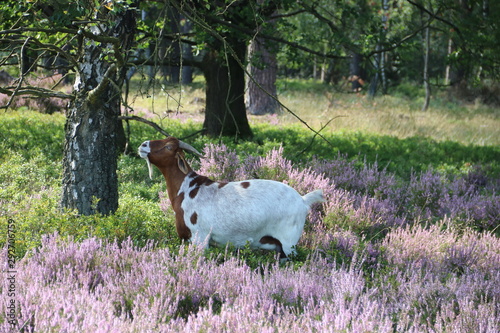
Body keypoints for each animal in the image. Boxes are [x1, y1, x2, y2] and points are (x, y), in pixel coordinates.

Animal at [138, 136, 324, 258]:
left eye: (169, 147)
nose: (143, 145)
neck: (187, 189)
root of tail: (303, 200)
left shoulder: (199, 237)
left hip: (289, 241)